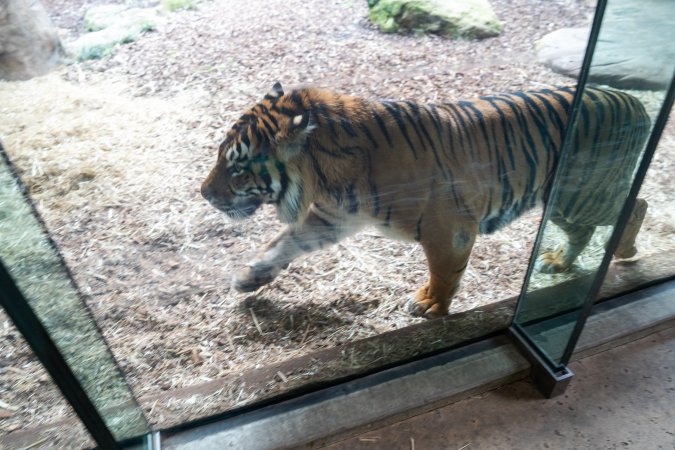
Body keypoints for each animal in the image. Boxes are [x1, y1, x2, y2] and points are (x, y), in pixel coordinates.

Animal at [201, 82, 651, 318]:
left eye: (237, 167)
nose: (204, 193)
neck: (329, 174)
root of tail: (635, 102)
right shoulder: (332, 217)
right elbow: (283, 243)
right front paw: (249, 277)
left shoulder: (449, 228)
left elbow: (444, 270)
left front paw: (431, 303)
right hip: (562, 202)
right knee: (586, 230)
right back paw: (559, 263)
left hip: (581, 193)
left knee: (636, 204)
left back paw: (625, 250)